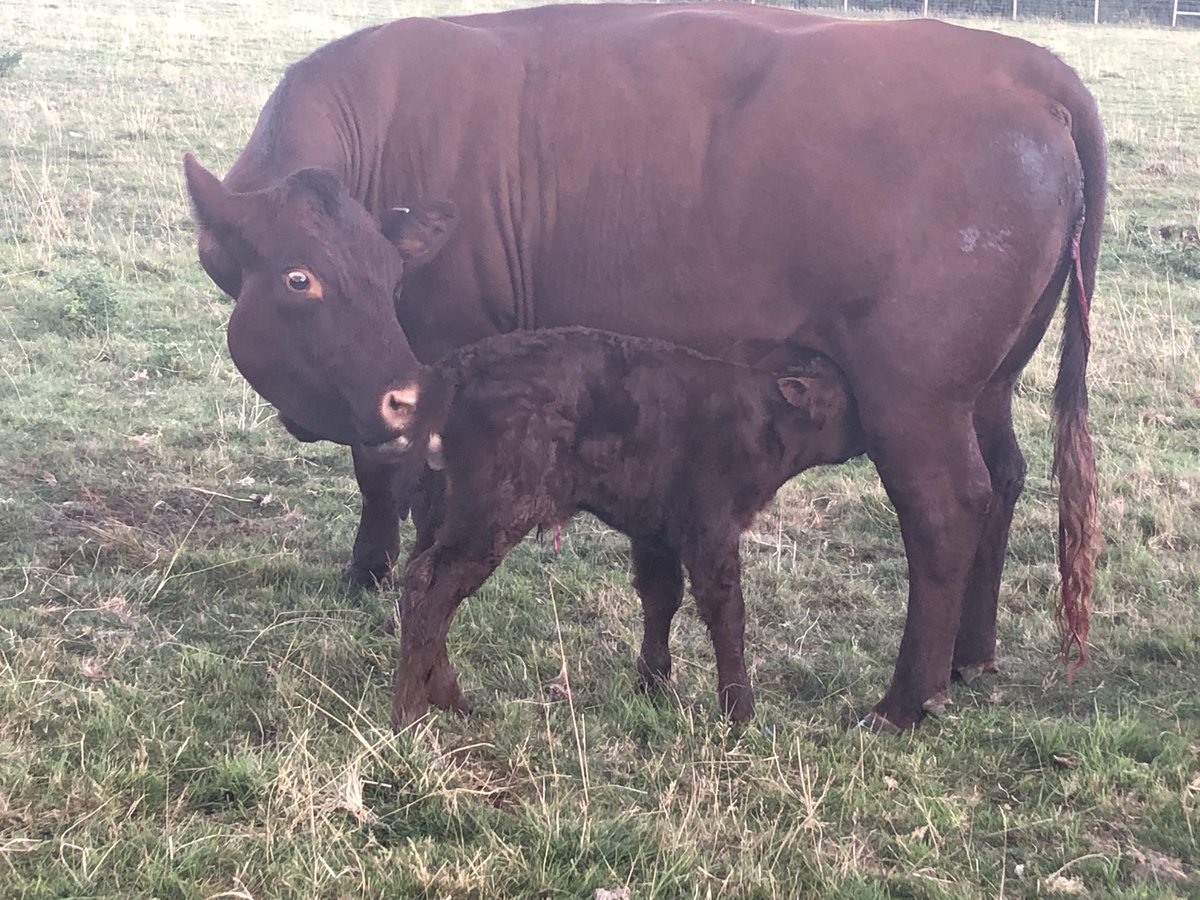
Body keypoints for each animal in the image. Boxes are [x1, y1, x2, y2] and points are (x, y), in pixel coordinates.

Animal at [386, 328, 865, 728]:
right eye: (846, 395)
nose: (866, 436)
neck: (762, 417)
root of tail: (463, 365)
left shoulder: (655, 532)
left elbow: (661, 597)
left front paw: (653, 684)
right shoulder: (711, 529)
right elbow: (727, 612)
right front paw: (740, 710)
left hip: (445, 513)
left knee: (424, 583)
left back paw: (447, 698)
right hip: (493, 516)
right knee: (431, 586)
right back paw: (410, 714)